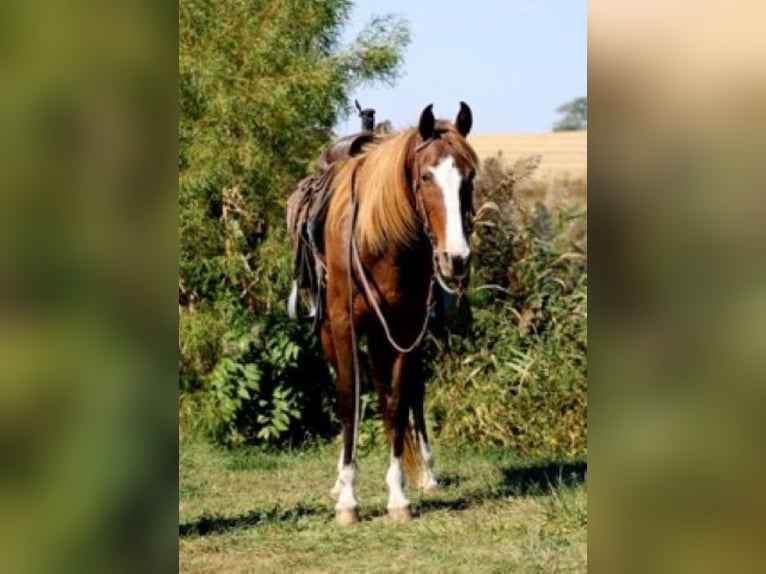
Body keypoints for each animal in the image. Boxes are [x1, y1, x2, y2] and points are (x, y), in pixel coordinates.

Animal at [289, 102, 477, 524]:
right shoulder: (345, 323)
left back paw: (426, 472)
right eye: (426, 175)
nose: (456, 259)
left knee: (411, 394)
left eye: (470, 176)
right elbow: (349, 401)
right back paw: (340, 482)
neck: (381, 243)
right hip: (333, 330)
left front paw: (398, 496)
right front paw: (348, 499)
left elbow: (395, 404)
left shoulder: (405, 327)